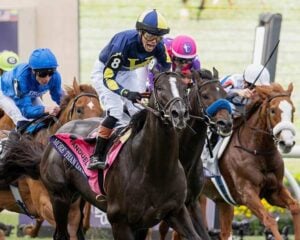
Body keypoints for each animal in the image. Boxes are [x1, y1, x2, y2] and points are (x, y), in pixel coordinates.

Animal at [200, 82, 298, 240]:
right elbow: (269, 220)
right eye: (272, 110)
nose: (287, 143)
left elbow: (295, 207)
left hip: (222, 201)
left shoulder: (274, 191)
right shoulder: (247, 193)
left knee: (224, 233)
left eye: (293, 110)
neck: (258, 152)